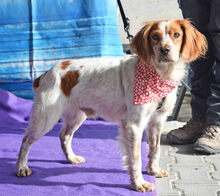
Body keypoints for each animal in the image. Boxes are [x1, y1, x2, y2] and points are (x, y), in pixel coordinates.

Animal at [16, 19, 206, 191]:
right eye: (155, 36)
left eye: (176, 35)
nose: (164, 50)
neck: (159, 75)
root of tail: (45, 74)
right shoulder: (134, 125)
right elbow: (136, 159)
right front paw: (139, 183)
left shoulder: (157, 121)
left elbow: (155, 149)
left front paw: (154, 170)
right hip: (45, 117)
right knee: (26, 140)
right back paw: (22, 167)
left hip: (77, 116)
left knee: (64, 136)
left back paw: (71, 158)